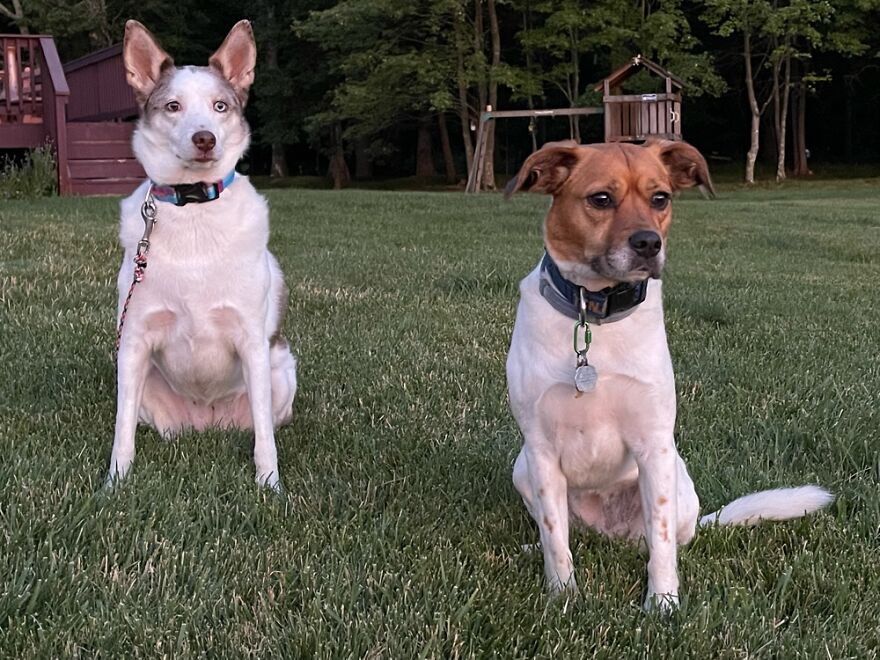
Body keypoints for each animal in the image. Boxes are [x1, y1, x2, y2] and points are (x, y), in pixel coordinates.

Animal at [107, 20, 298, 490]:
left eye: (220, 106)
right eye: (173, 106)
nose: (205, 138)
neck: (194, 207)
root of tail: (206, 422)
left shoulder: (251, 342)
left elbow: (265, 438)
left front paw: (270, 485)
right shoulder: (133, 341)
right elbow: (121, 430)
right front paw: (114, 485)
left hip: (281, 367)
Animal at [508, 142, 832, 612]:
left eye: (660, 198)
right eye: (601, 199)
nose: (648, 243)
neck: (595, 314)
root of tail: (610, 535)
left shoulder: (654, 444)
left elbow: (660, 544)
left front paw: (662, 604)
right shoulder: (541, 449)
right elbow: (556, 538)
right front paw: (563, 596)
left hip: (678, 480)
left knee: (665, 539)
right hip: (522, 467)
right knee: (569, 535)